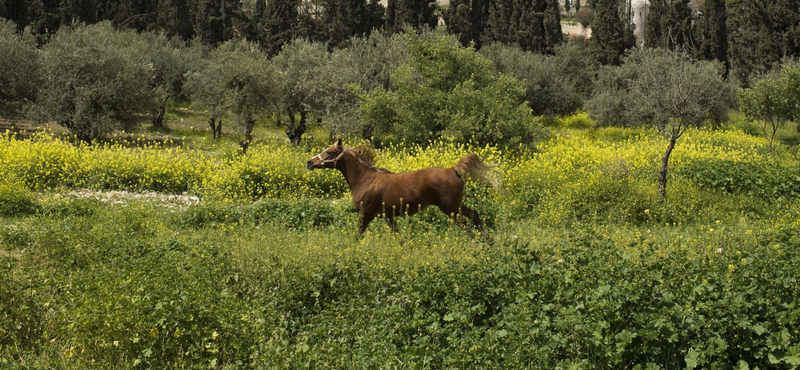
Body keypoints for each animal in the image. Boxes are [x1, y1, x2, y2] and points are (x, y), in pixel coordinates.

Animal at [306, 140, 500, 238]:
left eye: (329, 152)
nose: (310, 162)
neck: (366, 179)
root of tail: (454, 170)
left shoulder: (366, 213)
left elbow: (357, 234)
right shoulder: (387, 216)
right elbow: (398, 236)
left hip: (450, 209)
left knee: (467, 228)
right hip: (456, 206)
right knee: (475, 215)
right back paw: (487, 239)